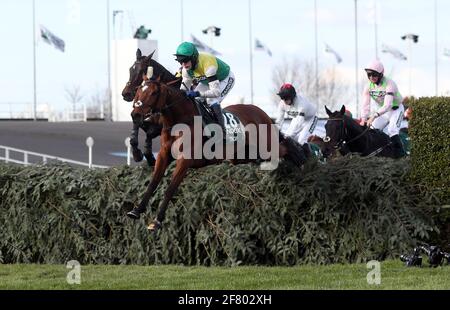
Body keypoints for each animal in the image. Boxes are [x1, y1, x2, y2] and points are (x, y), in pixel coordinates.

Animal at [126, 78, 310, 230]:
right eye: (138, 90)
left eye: (153, 93)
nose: (136, 114)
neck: (180, 122)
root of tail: (262, 113)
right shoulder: (164, 156)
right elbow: (152, 183)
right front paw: (136, 210)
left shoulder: (185, 160)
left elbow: (170, 188)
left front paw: (157, 221)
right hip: (242, 155)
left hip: (267, 147)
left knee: (285, 147)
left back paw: (301, 156)